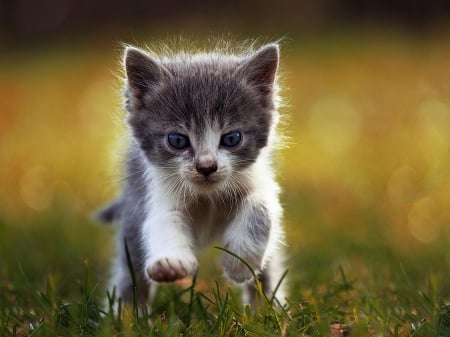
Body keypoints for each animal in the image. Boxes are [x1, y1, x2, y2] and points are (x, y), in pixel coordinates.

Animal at [99, 42, 288, 310]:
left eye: (232, 138)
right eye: (177, 140)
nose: (206, 166)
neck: (208, 197)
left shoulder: (260, 180)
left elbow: (262, 207)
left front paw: (239, 263)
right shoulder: (157, 193)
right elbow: (163, 221)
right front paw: (170, 263)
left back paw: (267, 309)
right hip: (132, 219)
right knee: (130, 273)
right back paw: (126, 314)